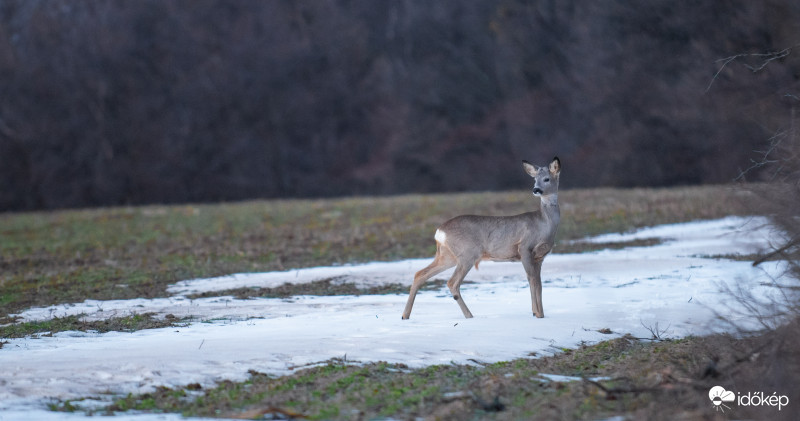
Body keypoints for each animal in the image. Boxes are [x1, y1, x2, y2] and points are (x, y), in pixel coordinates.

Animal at [400, 157, 564, 318]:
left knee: (420, 274)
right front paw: (538, 314)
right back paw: (469, 316)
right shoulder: (525, 248)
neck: (544, 223)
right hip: (467, 253)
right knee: (452, 282)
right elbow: (533, 280)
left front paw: (537, 313)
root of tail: (439, 231)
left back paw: (405, 315)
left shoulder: (540, 257)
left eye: (546, 179)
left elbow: (539, 284)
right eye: (534, 179)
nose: (536, 190)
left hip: (447, 255)